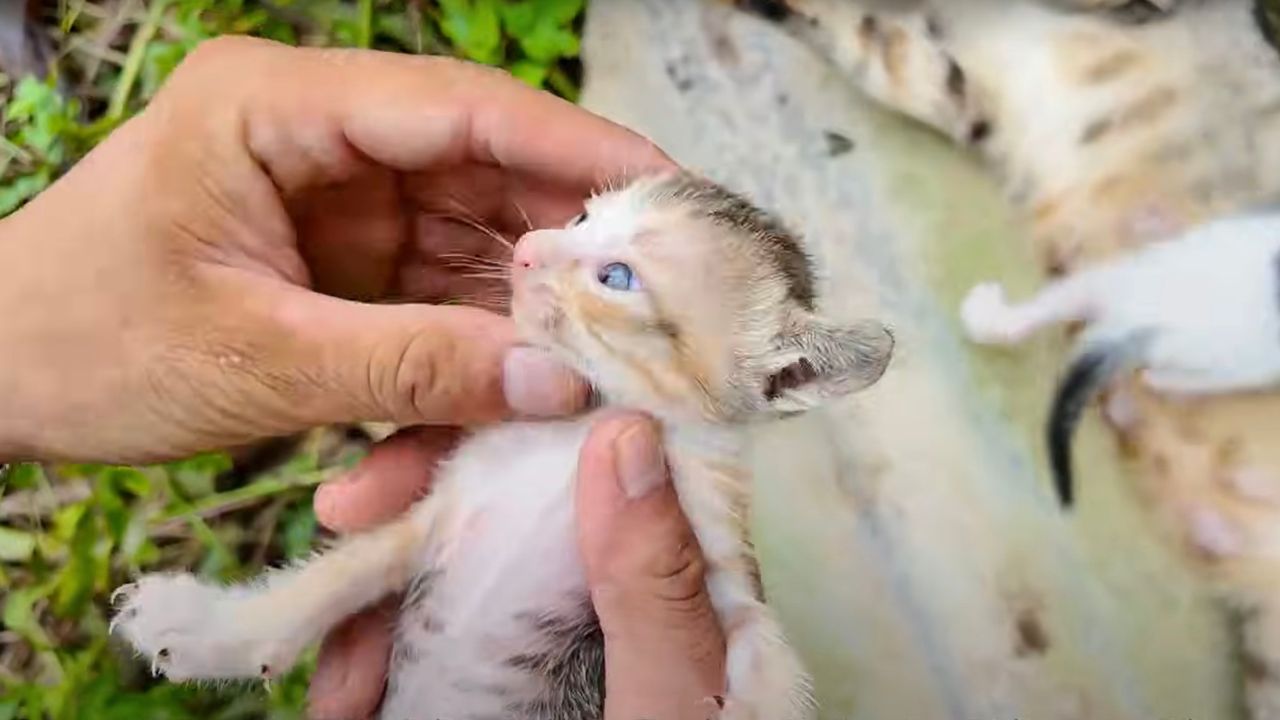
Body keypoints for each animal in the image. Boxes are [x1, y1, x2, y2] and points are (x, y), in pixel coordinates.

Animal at [107, 172, 890, 717]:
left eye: (616, 276)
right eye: (581, 215)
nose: (526, 249)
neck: (577, 434)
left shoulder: (723, 569)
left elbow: (766, 649)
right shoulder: (442, 510)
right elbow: (333, 577)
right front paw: (206, 627)